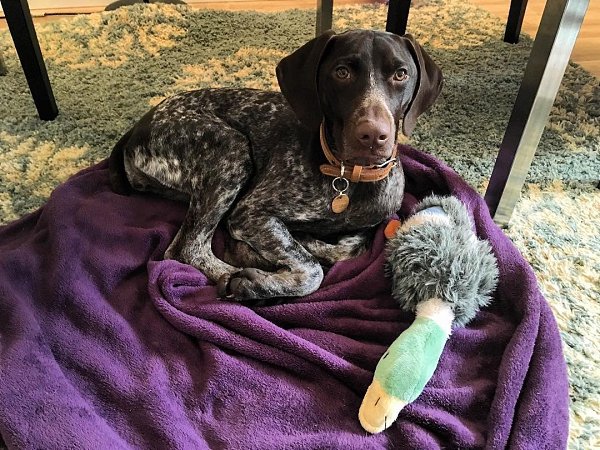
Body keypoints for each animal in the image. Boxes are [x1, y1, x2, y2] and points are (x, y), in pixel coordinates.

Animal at [108, 29, 443, 301]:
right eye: (342, 72)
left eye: (400, 74)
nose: (373, 135)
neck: (347, 177)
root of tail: (139, 126)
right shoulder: (250, 212)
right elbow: (313, 270)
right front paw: (258, 274)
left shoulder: (371, 224)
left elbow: (348, 249)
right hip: (231, 149)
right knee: (186, 248)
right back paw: (235, 271)